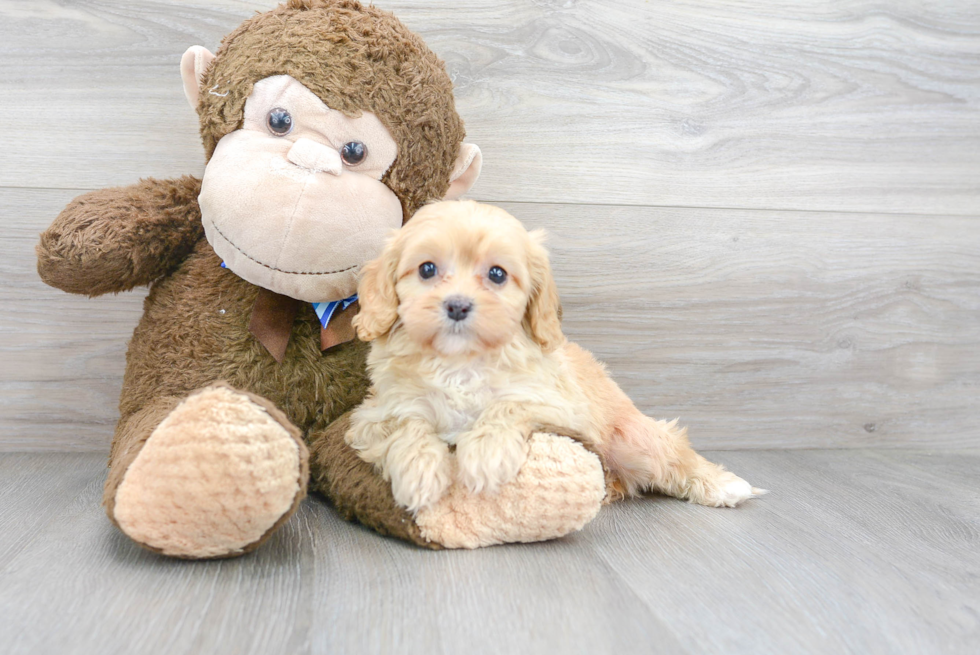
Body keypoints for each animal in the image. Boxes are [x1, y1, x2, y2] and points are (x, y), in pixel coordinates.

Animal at [346, 200, 764, 512]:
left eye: (497, 274)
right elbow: (408, 424)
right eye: (427, 269)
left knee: (675, 453)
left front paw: (485, 455)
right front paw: (419, 472)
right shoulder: (375, 415)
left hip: (632, 439)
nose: (458, 306)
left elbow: (508, 405)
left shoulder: (559, 405)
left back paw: (724, 485)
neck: (461, 362)